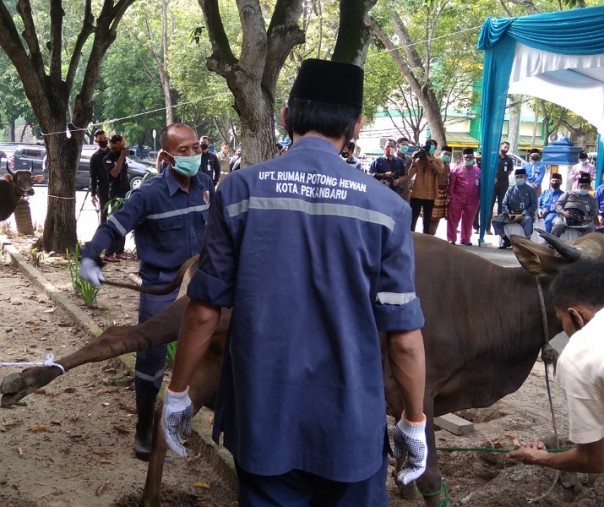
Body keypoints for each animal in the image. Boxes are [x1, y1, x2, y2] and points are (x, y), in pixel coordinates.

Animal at [3, 231, 604, 507]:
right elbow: (429, 473)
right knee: (119, 338)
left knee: (169, 412)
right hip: (192, 318)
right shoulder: (421, 388)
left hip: (212, 357)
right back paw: (24, 381)